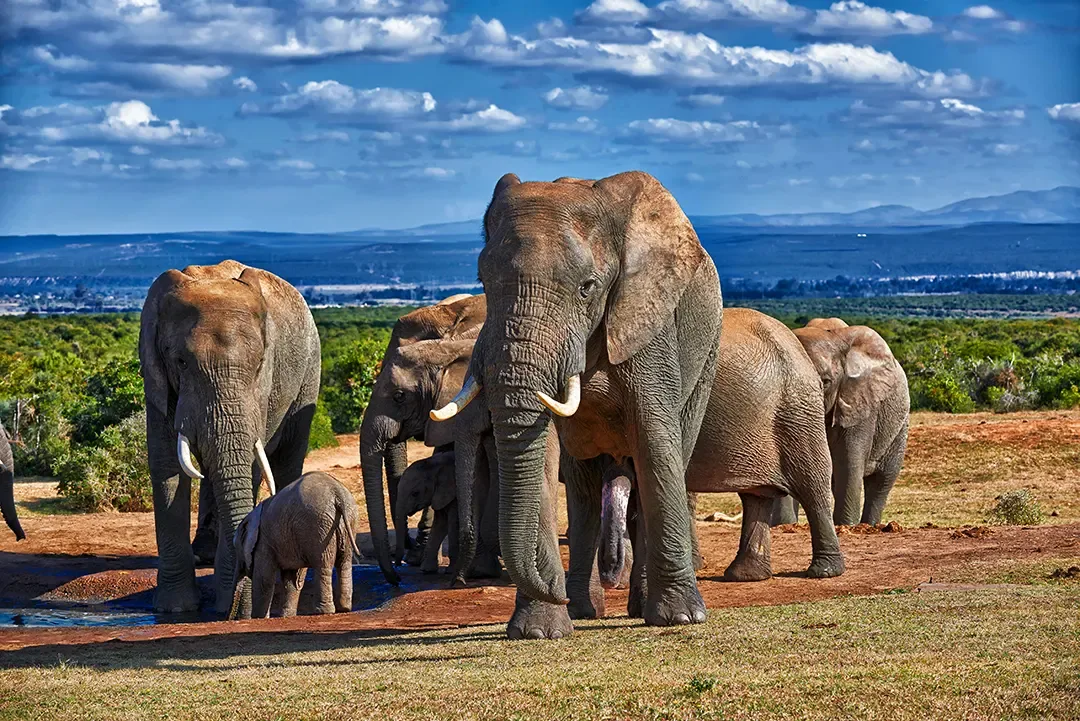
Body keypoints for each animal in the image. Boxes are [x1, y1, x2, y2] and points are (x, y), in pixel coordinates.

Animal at [139, 260, 321, 615]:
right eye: (181, 362)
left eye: (260, 363)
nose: (238, 610)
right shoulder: (155, 377)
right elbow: (167, 466)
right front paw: (175, 609)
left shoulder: (261, 389)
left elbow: (250, 466)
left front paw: (222, 605)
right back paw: (204, 556)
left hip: (309, 372)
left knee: (286, 460)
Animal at [232, 471, 361, 618]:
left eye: (236, 548)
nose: (230, 618)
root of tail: (337, 493)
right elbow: (293, 579)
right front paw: (286, 616)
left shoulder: (263, 541)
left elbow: (265, 579)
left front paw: (258, 617)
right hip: (347, 520)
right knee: (344, 562)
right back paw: (344, 608)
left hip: (317, 526)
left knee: (323, 563)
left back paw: (322, 611)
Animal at [431, 171, 723, 638]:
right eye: (483, 282)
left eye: (587, 288)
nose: (555, 590)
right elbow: (543, 454)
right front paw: (538, 630)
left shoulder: (645, 320)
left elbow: (655, 441)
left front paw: (680, 618)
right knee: (584, 489)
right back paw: (585, 608)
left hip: (706, 353)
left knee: (669, 452)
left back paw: (636, 606)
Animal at [596, 308, 844, 614]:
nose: (610, 576)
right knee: (757, 496)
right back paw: (746, 576)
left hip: (798, 410)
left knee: (812, 486)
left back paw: (824, 571)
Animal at [774, 321, 910, 526]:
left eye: (826, 381)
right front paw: (785, 525)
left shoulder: (860, 404)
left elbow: (848, 462)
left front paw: (846, 526)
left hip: (899, 425)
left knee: (881, 480)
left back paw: (870, 526)